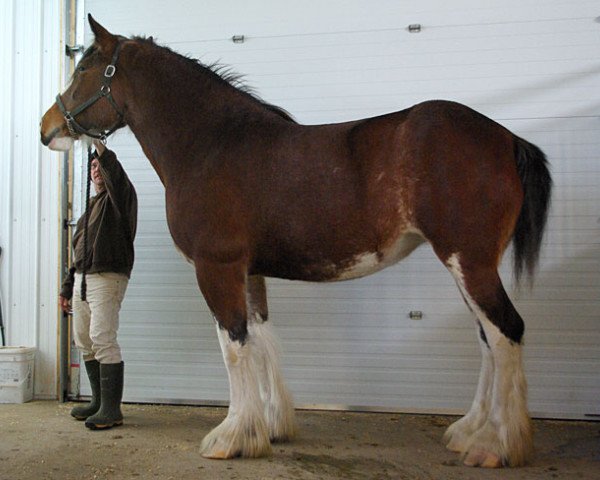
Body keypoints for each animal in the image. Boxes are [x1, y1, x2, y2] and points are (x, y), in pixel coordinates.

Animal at [39, 15, 552, 468]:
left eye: (84, 70)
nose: (47, 128)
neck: (211, 144)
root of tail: (506, 138)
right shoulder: (249, 271)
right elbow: (260, 337)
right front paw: (268, 426)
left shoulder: (217, 267)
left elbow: (234, 344)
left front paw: (232, 437)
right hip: (466, 266)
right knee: (487, 338)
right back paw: (469, 431)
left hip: (469, 260)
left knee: (506, 332)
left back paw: (496, 446)